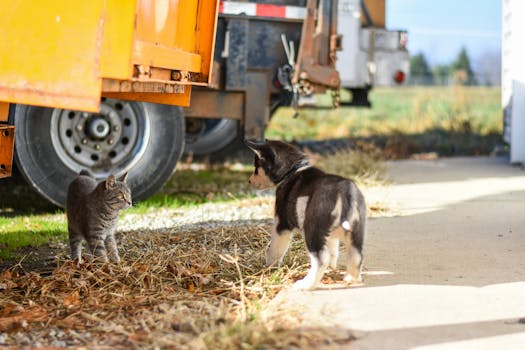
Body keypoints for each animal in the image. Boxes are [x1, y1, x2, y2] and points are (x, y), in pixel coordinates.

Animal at [245, 139, 364, 290]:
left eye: (256, 167)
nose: (249, 181)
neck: (292, 171)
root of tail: (342, 191)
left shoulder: (281, 224)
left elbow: (275, 250)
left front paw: (269, 268)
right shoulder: (330, 236)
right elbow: (333, 251)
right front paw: (332, 269)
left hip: (312, 230)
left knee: (321, 259)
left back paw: (306, 284)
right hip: (356, 233)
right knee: (356, 256)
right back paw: (352, 278)